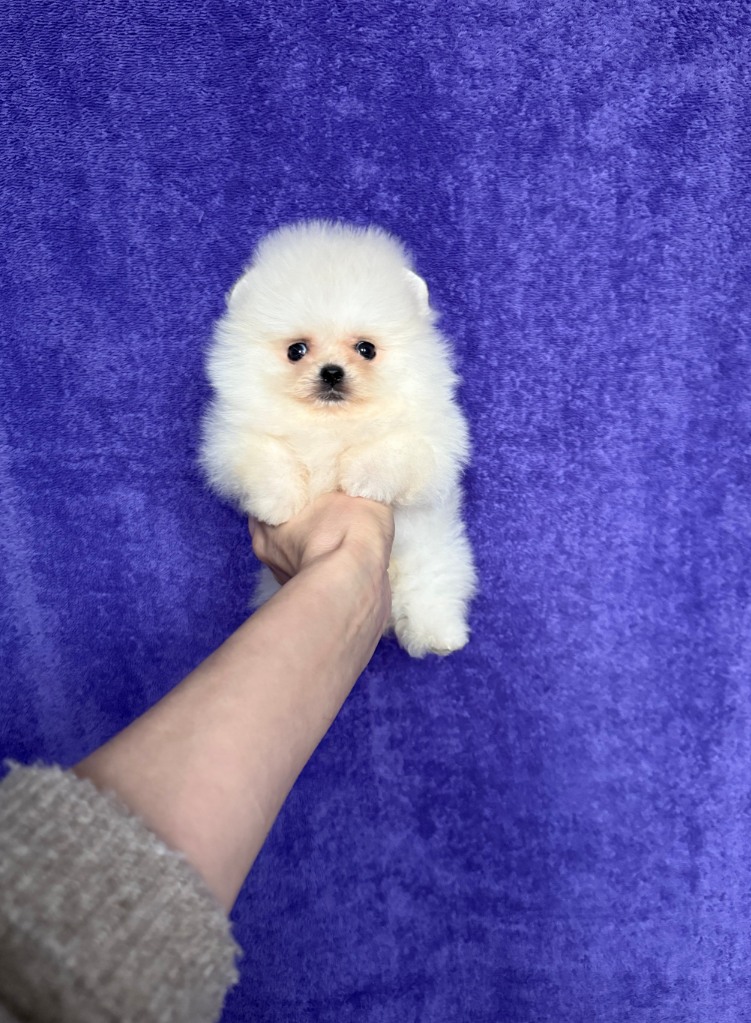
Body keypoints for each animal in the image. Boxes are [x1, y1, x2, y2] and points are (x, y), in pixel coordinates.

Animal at [200, 221, 477, 657]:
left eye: (366, 349)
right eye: (297, 350)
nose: (331, 372)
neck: (331, 420)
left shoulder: (433, 439)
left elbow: (396, 449)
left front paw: (361, 478)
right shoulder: (230, 435)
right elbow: (267, 455)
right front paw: (279, 502)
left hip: (435, 557)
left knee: (431, 592)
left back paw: (440, 637)